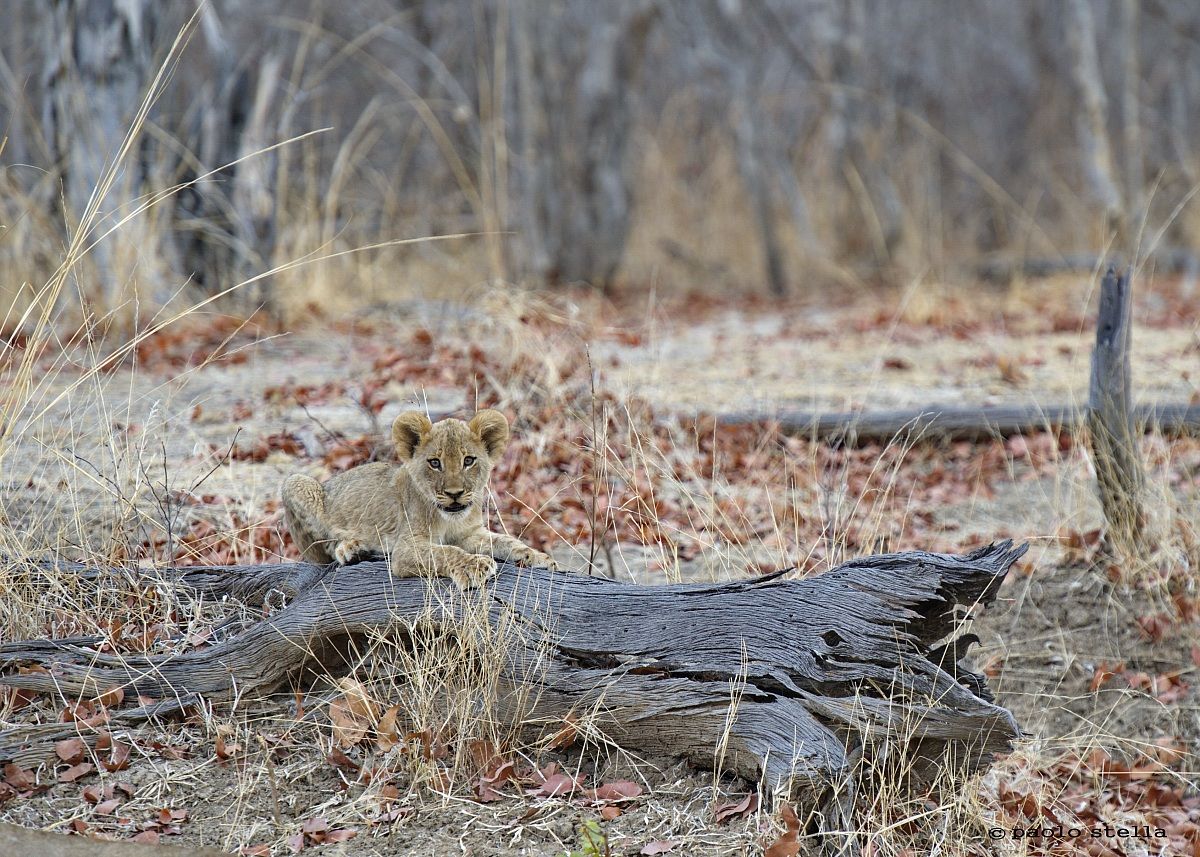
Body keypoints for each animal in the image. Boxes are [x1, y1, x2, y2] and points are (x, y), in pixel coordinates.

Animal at [282, 410, 559, 589]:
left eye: (468, 460)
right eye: (435, 463)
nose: (454, 493)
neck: (449, 519)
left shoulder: (470, 534)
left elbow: (507, 541)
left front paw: (541, 559)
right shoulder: (406, 548)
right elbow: (444, 551)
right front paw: (474, 566)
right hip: (295, 482)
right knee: (323, 551)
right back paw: (351, 548)